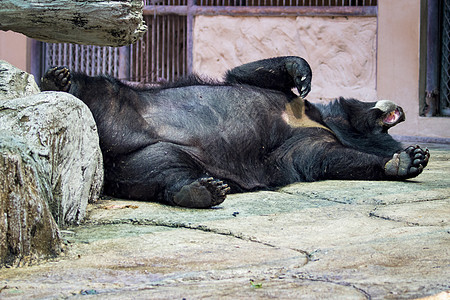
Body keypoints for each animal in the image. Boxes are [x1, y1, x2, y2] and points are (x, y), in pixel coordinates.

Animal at [40, 56, 430, 209]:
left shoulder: (307, 144)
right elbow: (250, 74)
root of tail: (108, 153)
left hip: (140, 159)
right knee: (98, 89)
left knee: (163, 168)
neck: (327, 122)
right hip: (125, 102)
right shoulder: (290, 102)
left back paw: (200, 190)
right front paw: (301, 72)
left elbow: (331, 159)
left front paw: (406, 160)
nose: (401, 111)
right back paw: (59, 80)